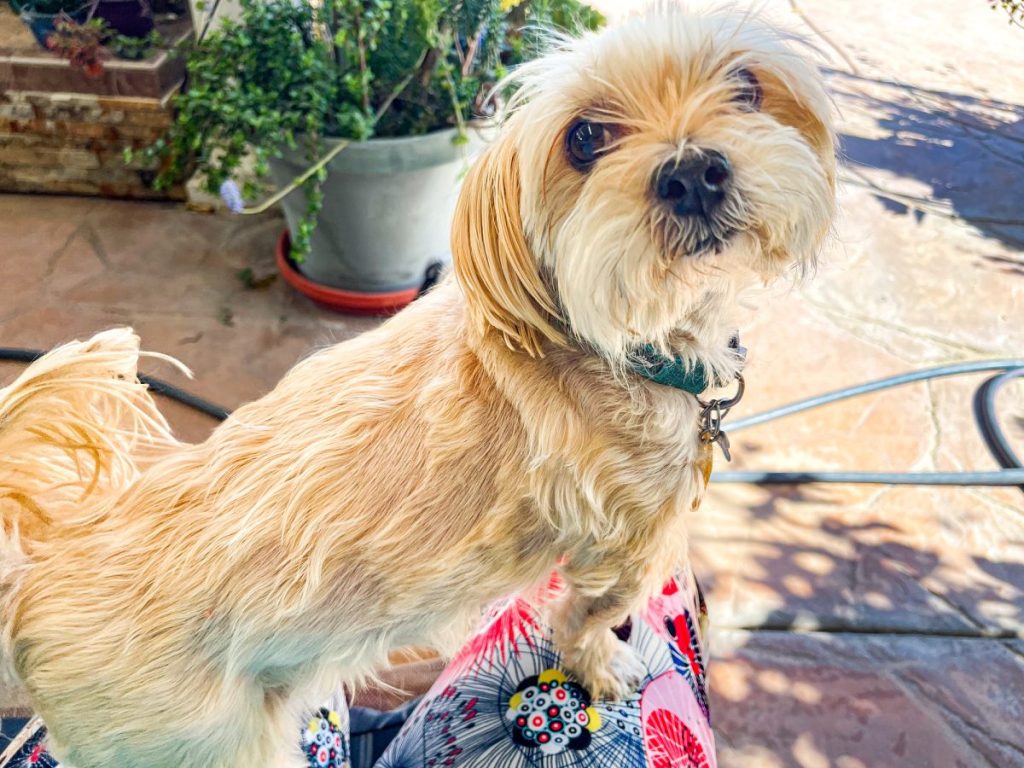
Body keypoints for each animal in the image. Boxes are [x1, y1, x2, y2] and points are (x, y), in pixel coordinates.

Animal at [0, 7, 831, 768]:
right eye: (584, 138)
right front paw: (603, 665)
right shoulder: (624, 551)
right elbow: (587, 618)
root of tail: (35, 578)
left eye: (746, 86)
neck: (604, 343)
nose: (693, 173)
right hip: (198, 744)